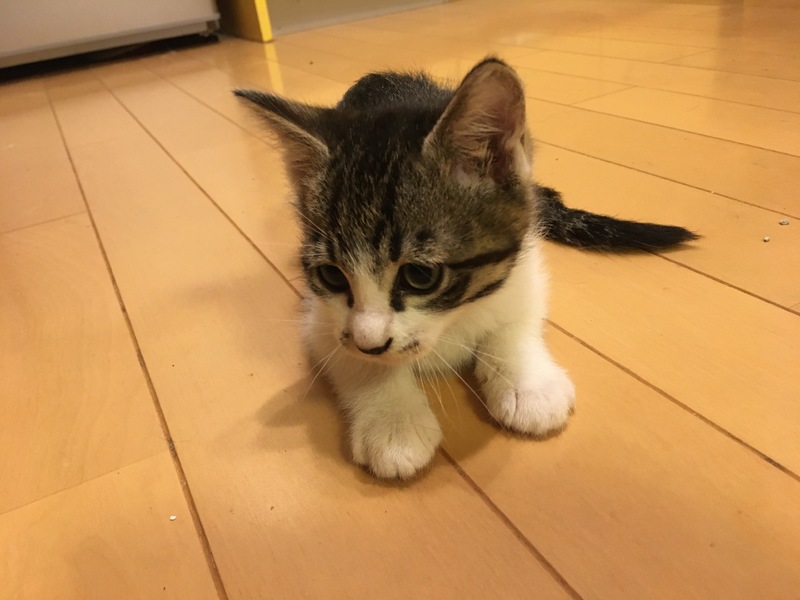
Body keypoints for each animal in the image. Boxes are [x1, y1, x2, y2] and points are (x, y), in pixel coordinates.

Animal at [235, 57, 697, 480]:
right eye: (331, 274)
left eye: (420, 276)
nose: (371, 343)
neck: (450, 323)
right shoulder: (319, 315)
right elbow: (344, 347)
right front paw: (393, 423)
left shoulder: (526, 259)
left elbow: (514, 317)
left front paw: (528, 384)